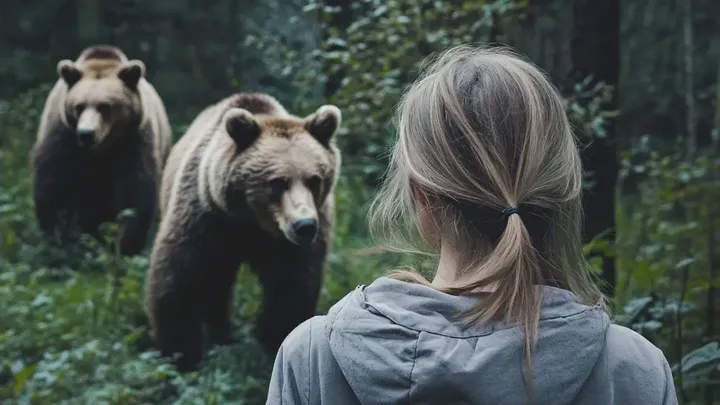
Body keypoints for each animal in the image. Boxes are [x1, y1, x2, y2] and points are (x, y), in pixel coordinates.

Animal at [30, 45, 173, 257]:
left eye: (105, 106)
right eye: (79, 106)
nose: (86, 133)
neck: (101, 150)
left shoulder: (133, 143)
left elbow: (134, 197)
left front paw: (125, 246)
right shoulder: (63, 138)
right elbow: (54, 188)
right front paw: (58, 237)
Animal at [144, 92, 341, 371]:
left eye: (315, 179)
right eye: (278, 182)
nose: (304, 226)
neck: (252, 222)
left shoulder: (291, 245)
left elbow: (291, 287)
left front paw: (275, 338)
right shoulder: (206, 219)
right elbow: (179, 278)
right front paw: (181, 354)